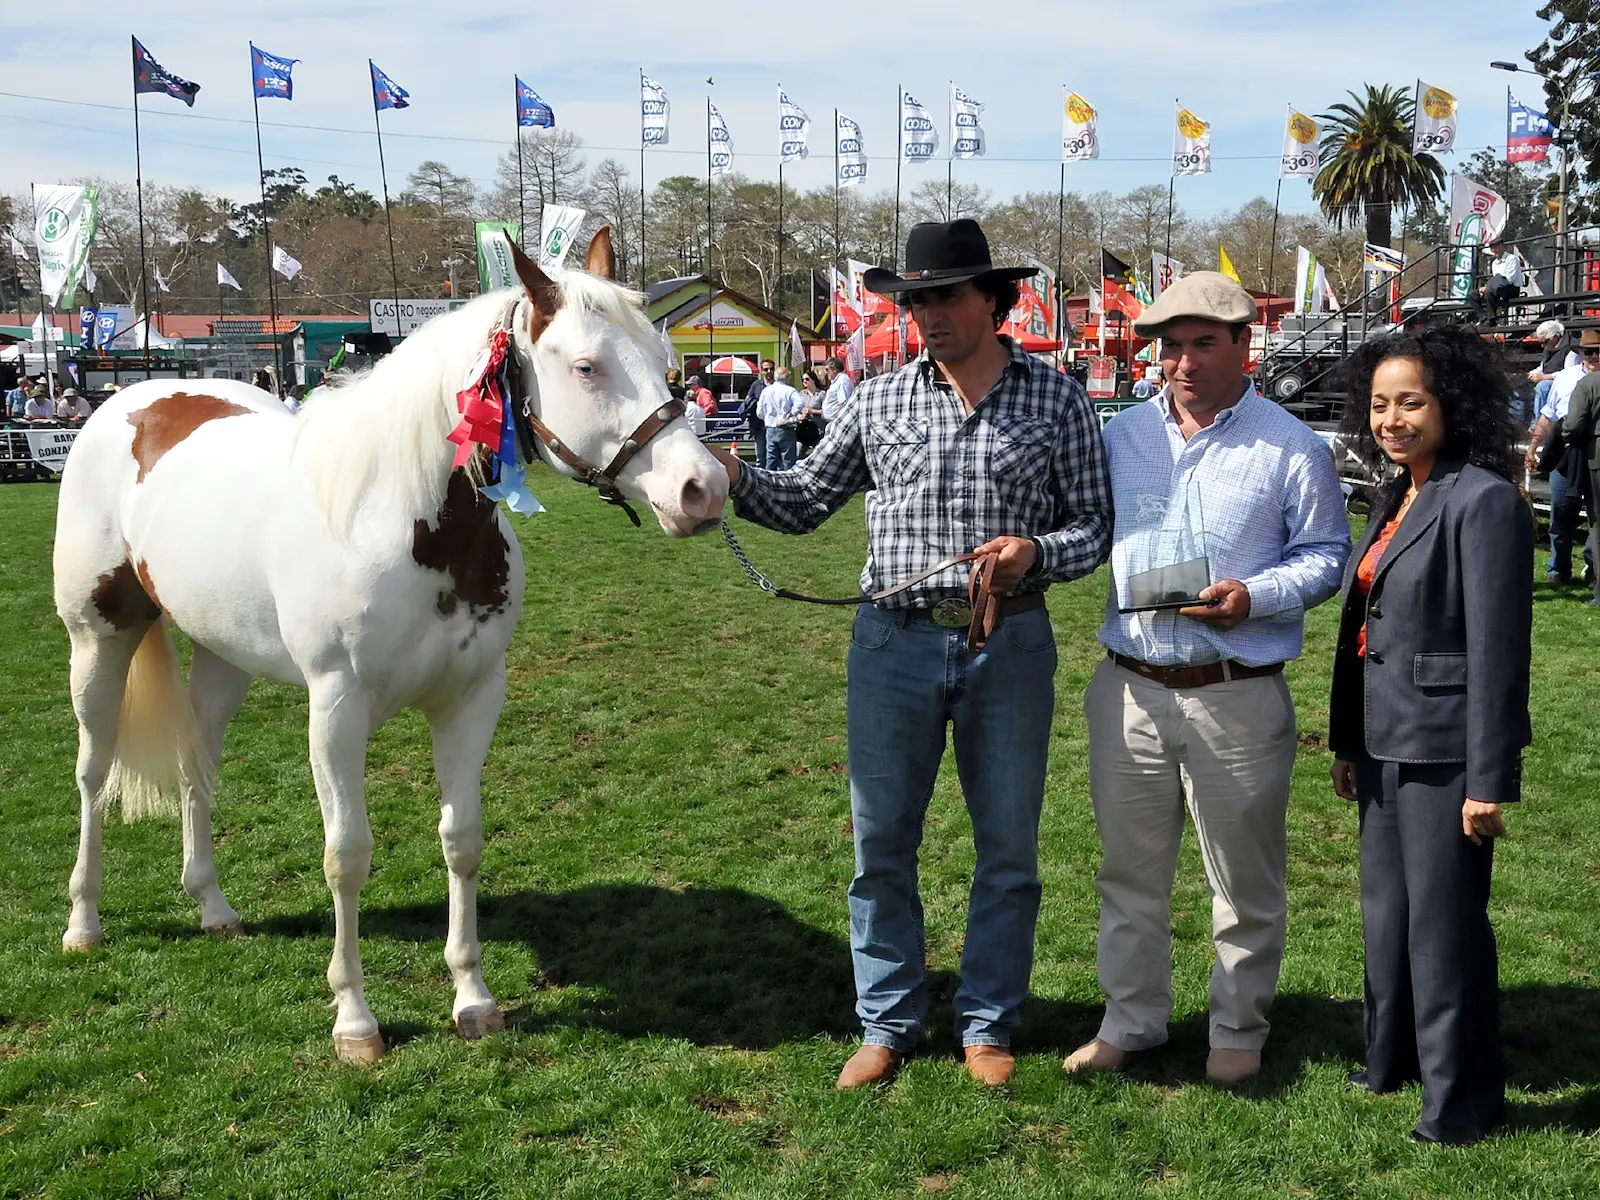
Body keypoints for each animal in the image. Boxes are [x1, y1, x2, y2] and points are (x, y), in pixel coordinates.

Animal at [50, 232, 726, 1062]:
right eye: (585, 367)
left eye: (666, 362)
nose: (704, 488)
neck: (405, 520)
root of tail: (131, 403)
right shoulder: (336, 709)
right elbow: (347, 855)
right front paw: (355, 1020)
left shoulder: (472, 699)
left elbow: (462, 840)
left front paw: (473, 999)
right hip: (98, 639)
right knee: (92, 772)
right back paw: (84, 922)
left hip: (223, 657)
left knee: (194, 763)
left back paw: (213, 906)